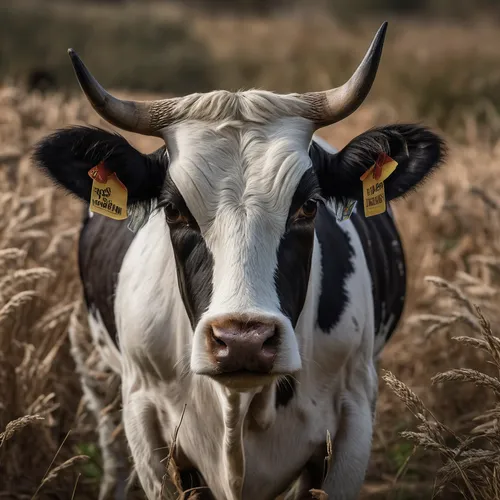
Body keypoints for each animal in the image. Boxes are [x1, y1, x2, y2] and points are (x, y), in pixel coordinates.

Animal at [32, 22, 446, 500]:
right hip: (92, 363)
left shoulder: (352, 421)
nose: (243, 340)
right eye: (172, 210)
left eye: (309, 205)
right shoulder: (145, 419)